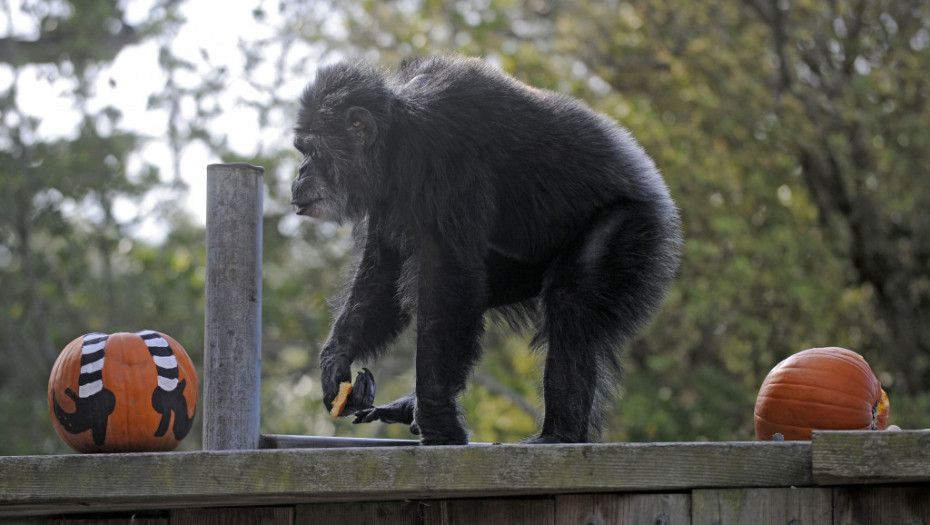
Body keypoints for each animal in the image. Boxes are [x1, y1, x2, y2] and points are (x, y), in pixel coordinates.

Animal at [292, 55, 680, 444]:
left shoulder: (443, 149)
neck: (395, 137)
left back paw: (559, 434)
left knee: (571, 300)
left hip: (636, 225)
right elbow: (383, 269)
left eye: (312, 150)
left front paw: (439, 422)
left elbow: (445, 272)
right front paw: (335, 363)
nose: (299, 173)